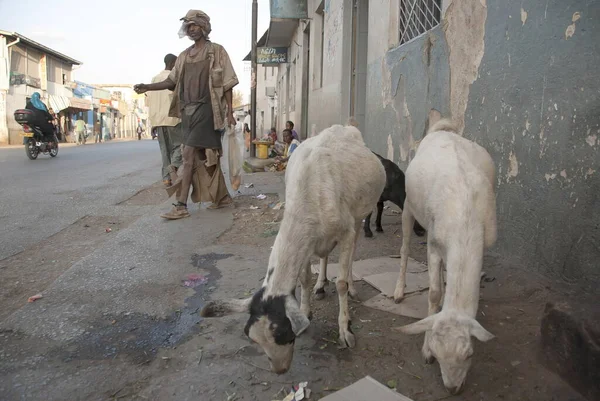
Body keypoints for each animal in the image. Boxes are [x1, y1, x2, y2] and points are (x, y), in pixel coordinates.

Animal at [200, 120, 384, 374]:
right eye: (254, 339)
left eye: (284, 334)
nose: (280, 370)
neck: (312, 193)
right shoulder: (308, 241)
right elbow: (304, 279)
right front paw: (306, 310)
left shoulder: (345, 231)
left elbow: (341, 284)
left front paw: (345, 329)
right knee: (324, 257)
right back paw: (320, 285)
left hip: (359, 216)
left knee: (353, 250)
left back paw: (351, 287)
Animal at [394, 119, 496, 394]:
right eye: (437, 355)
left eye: (470, 354)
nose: (452, 389)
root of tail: (442, 129)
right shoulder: (433, 244)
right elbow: (434, 292)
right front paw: (425, 348)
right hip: (408, 207)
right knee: (404, 249)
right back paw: (399, 291)